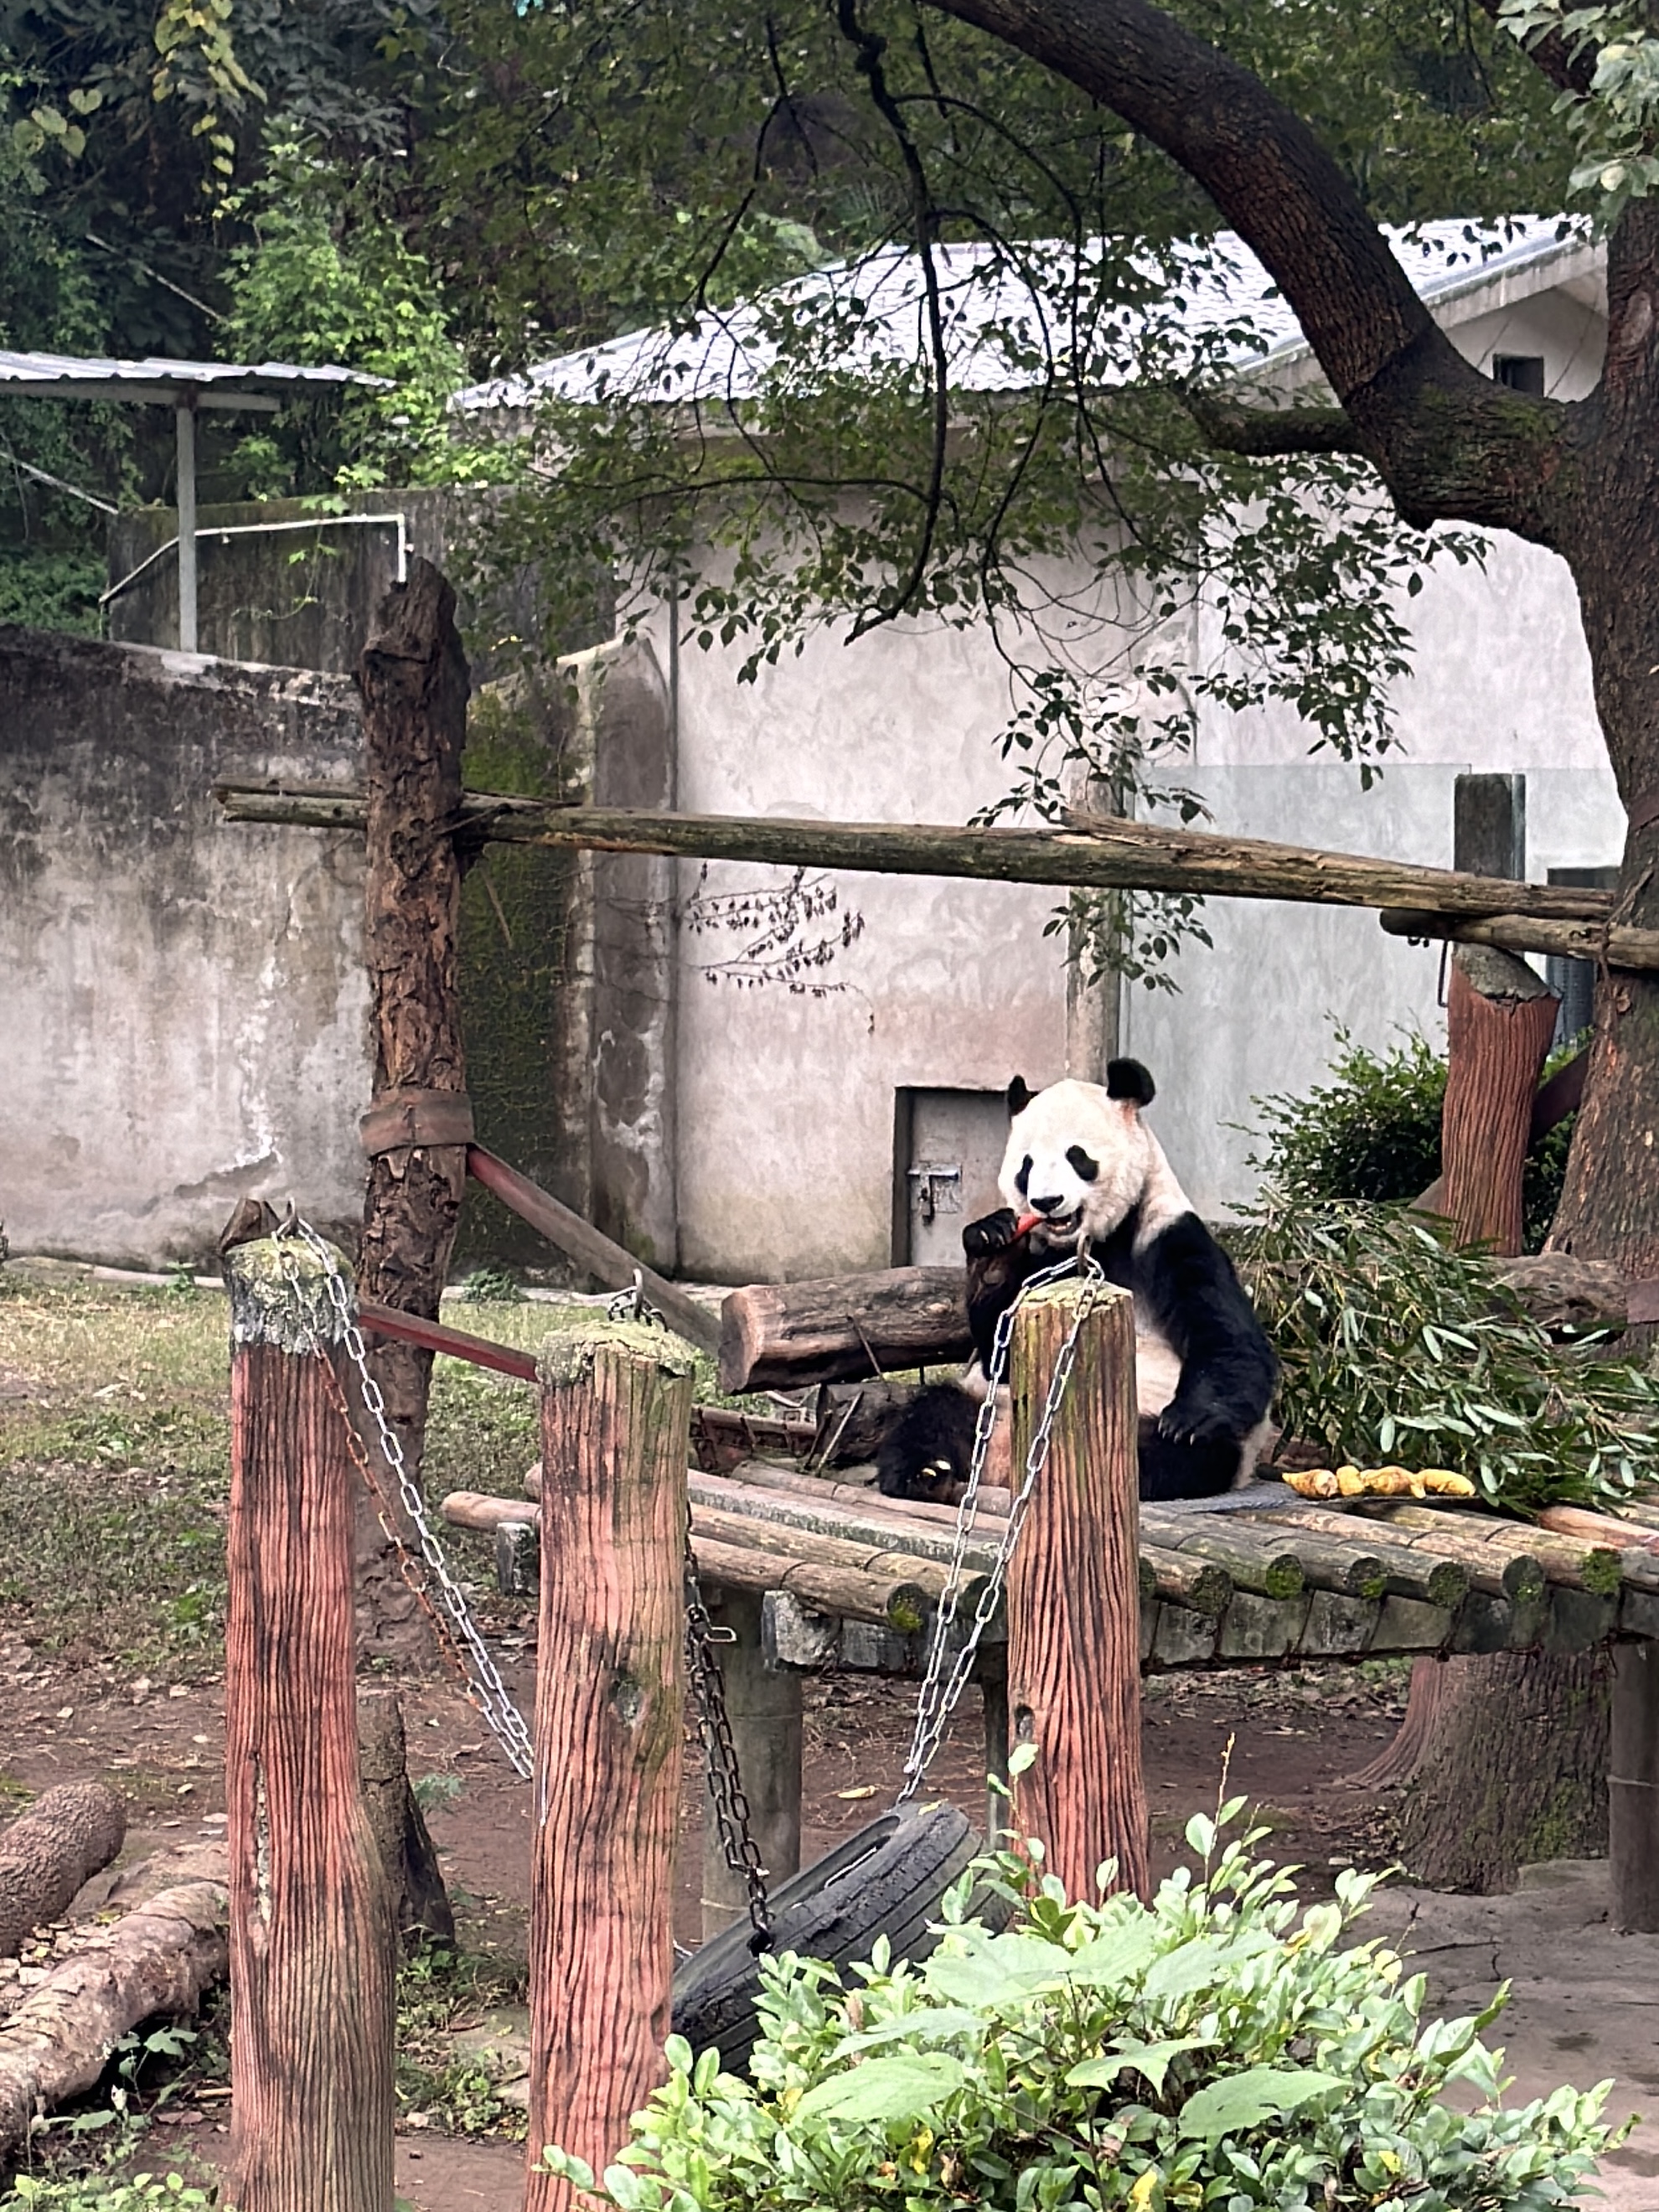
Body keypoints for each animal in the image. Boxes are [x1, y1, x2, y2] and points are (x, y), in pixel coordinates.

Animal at [876, 1061, 1278, 1504]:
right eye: (1026, 1166)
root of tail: (1003, 1456)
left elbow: (1230, 1339)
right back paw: (926, 1472)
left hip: (1164, 1428)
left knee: (1165, 1453)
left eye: (1077, 1156)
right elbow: (998, 1353)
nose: (1047, 1202)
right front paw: (992, 1247)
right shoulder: (1042, 1262)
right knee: (933, 1412)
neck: (1093, 1244)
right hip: (985, 1403)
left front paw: (1188, 1419)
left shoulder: (1168, 1236)